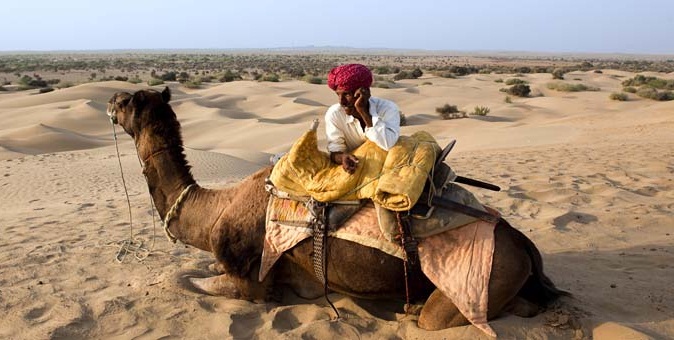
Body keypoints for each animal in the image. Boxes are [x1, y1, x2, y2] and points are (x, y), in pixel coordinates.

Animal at [106, 87, 568, 332]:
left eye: (129, 102)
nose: (112, 99)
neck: (215, 209)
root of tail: (524, 246)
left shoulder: (250, 283)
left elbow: (189, 281)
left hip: (476, 284)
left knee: (449, 316)